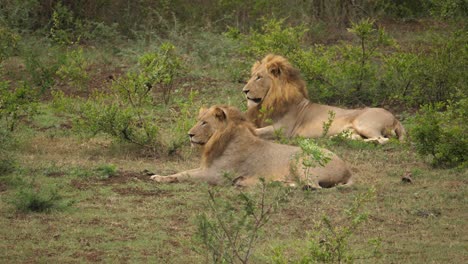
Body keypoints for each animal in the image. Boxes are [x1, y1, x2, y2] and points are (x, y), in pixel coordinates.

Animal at [150, 105, 352, 188]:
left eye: (204, 123)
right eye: (198, 120)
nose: (189, 134)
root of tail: (347, 169)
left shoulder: (216, 175)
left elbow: (184, 175)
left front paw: (160, 179)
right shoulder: (206, 168)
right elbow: (180, 172)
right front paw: (158, 176)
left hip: (301, 161)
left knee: (311, 186)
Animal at [243, 54, 404, 144]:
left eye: (259, 77)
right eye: (252, 76)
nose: (244, 91)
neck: (269, 100)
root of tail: (395, 118)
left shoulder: (284, 130)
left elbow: (257, 131)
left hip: (364, 124)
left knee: (384, 139)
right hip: (354, 130)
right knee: (359, 138)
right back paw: (337, 138)